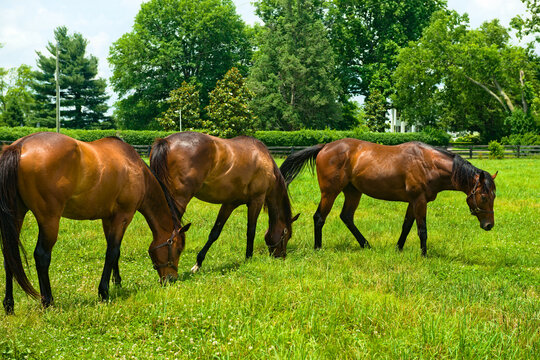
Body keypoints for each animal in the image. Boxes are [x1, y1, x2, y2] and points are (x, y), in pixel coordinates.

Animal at [0, 133, 190, 316]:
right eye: (178, 249)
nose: (171, 279)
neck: (136, 169)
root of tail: (18, 146)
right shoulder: (123, 217)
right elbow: (112, 252)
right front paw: (104, 292)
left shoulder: (108, 219)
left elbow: (115, 252)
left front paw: (117, 283)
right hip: (49, 220)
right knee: (42, 256)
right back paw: (48, 302)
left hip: (16, 215)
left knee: (9, 255)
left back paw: (9, 305)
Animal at [150, 132, 298, 272]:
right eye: (287, 235)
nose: (281, 257)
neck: (263, 158)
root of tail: (166, 142)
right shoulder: (256, 201)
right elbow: (251, 231)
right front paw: (248, 258)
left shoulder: (229, 203)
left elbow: (215, 233)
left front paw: (198, 263)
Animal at [282, 139, 498, 256]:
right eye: (484, 196)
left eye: (493, 196)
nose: (489, 225)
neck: (428, 163)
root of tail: (325, 146)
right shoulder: (419, 201)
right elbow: (422, 230)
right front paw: (424, 255)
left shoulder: (413, 201)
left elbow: (406, 226)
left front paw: (398, 248)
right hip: (330, 192)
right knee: (319, 217)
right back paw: (318, 247)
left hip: (353, 192)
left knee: (347, 217)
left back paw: (366, 244)